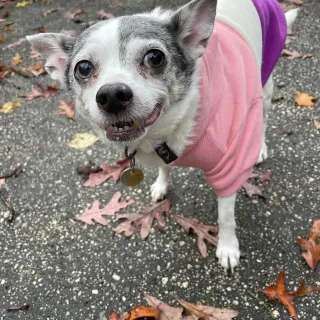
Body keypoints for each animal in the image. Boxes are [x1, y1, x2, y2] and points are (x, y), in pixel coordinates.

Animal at [27, 0, 292, 272]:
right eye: (83, 68)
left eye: (155, 57)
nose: (112, 95)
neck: (161, 133)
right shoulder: (162, 152)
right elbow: (165, 167)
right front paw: (162, 184)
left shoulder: (230, 166)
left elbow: (225, 215)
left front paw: (228, 247)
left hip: (265, 85)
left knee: (263, 118)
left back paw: (260, 148)